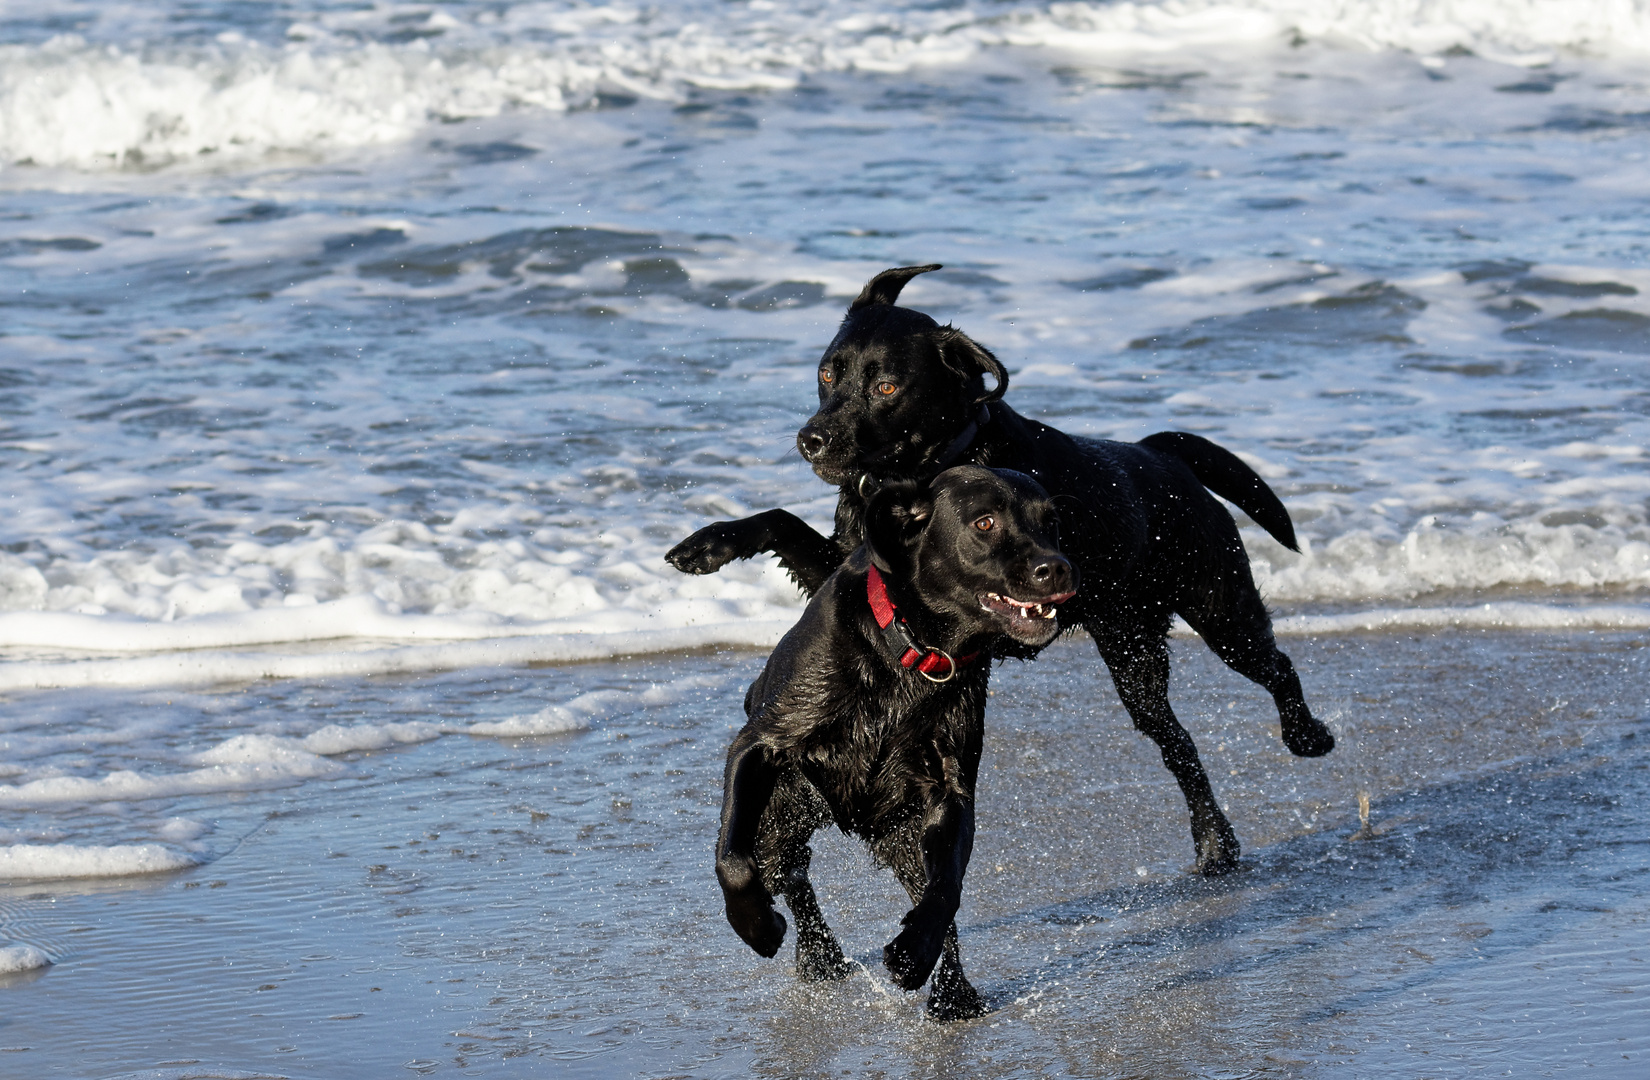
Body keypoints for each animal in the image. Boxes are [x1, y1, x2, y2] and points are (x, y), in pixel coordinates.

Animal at [669, 263, 1326, 877]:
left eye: (886, 385)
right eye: (829, 373)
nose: (813, 438)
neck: (928, 465)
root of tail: (1157, 452)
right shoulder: (852, 564)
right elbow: (780, 521)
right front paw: (708, 544)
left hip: (1218, 610)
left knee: (1274, 667)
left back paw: (1303, 739)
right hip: (1134, 653)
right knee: (1178, 741)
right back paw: (1216, 840)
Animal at [716, 468, 1075, 1022]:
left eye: (1051, 521)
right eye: (985, 522)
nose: (1056, 568)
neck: (911, 651)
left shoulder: (949, 788)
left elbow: (945, 890)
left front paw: (916, 953)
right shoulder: (759, 745)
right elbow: (732, 860)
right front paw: (756, 925)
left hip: (900, 833)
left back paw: (952, 994)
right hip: (781, 813)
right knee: (788, 872)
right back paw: (818, 954)